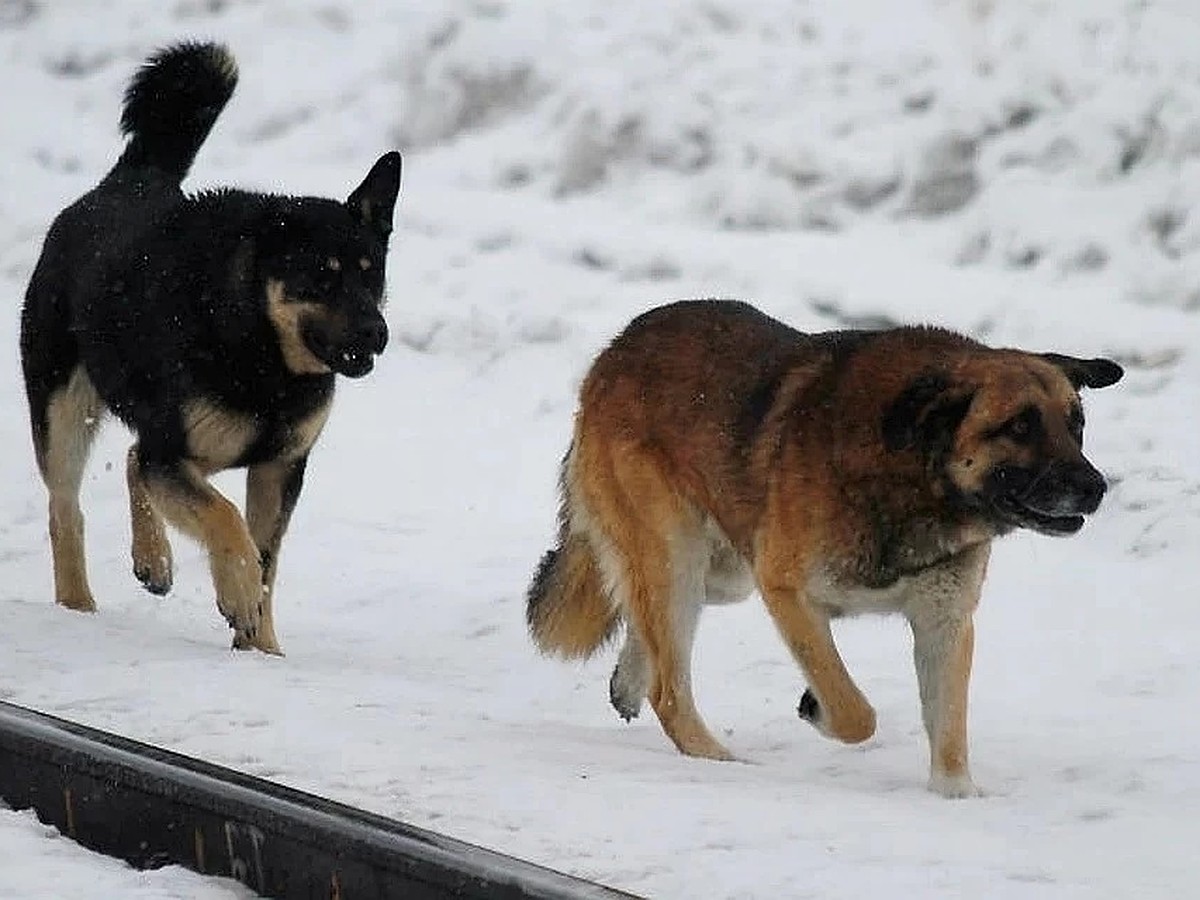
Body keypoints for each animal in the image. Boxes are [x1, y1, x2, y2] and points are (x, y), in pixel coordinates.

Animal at [19, 42, 403, 652]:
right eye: (322, 277)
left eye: (372, 275)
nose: (377, 334)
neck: (263, 353)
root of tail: (129, 180)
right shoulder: (178, 451)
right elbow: (226, 519)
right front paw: (239, 594)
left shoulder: (278, 467)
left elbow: (267, 557)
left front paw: (261, 647)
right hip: (64, 408)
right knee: (66, 507)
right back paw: (77, 604)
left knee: (133, 459)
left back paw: (153, 561)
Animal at [530, 301, 1118, 796]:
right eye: (1018, 427)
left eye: (1077, 425)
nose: (1095, 488)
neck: (913, 472)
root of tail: (616, 351)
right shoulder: (786, 590)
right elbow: (854, 711)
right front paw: (819, 708)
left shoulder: (945, 620)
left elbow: (949, 727)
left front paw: (955, 796)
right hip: (679, 555)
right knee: (669, 689)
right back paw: (719, 760)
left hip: (720, 572)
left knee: (643, 618)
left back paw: (630, 680)